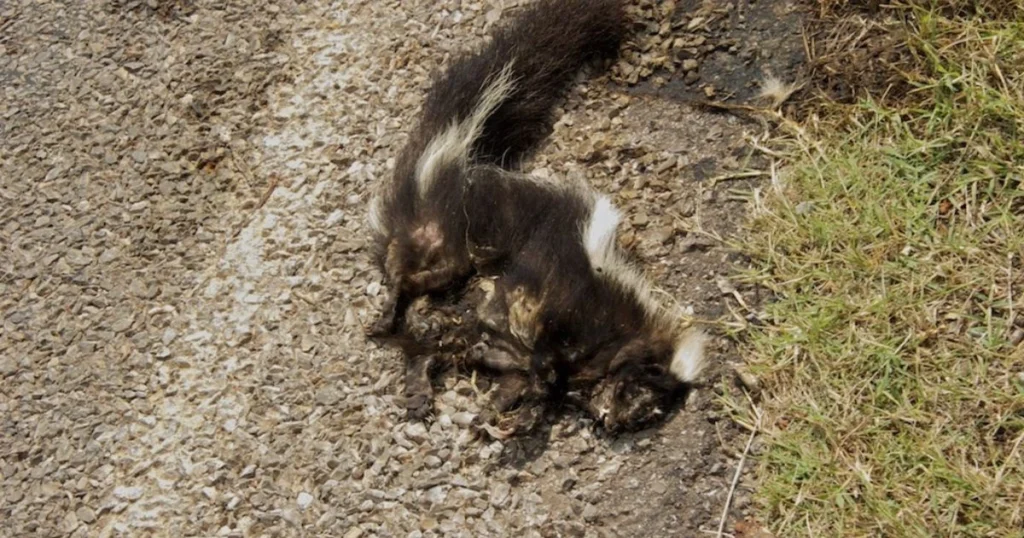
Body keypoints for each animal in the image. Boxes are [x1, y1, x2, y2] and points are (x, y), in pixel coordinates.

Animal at [464, 166, 712, 434]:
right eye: (636, 393)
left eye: (646, 413)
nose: (613, 421)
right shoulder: (581, 319)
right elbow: (547, 360)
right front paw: (537, 392)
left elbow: (538, 388)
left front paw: (524, 412)